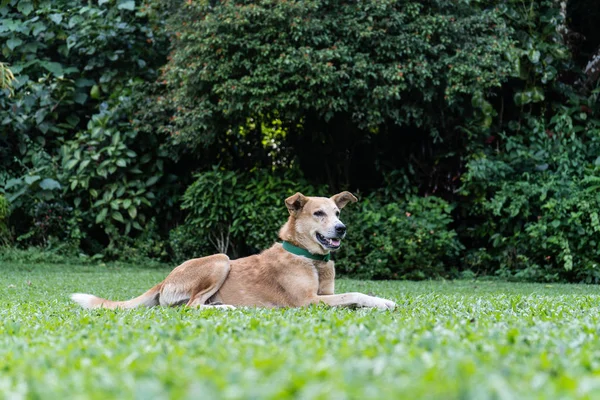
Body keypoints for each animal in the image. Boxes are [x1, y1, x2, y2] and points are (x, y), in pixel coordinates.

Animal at [70, 192, 396, 310]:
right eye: (318, 214)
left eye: (338, 212)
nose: (341, 228)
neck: (309, 258)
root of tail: (164, 280)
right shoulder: (308, 301)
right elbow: (354, 293)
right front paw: (382, 302)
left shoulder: (325, 296)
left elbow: (350, 298)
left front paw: (375, 304)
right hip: (220, 260)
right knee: (190, 307)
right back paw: (225, 308)